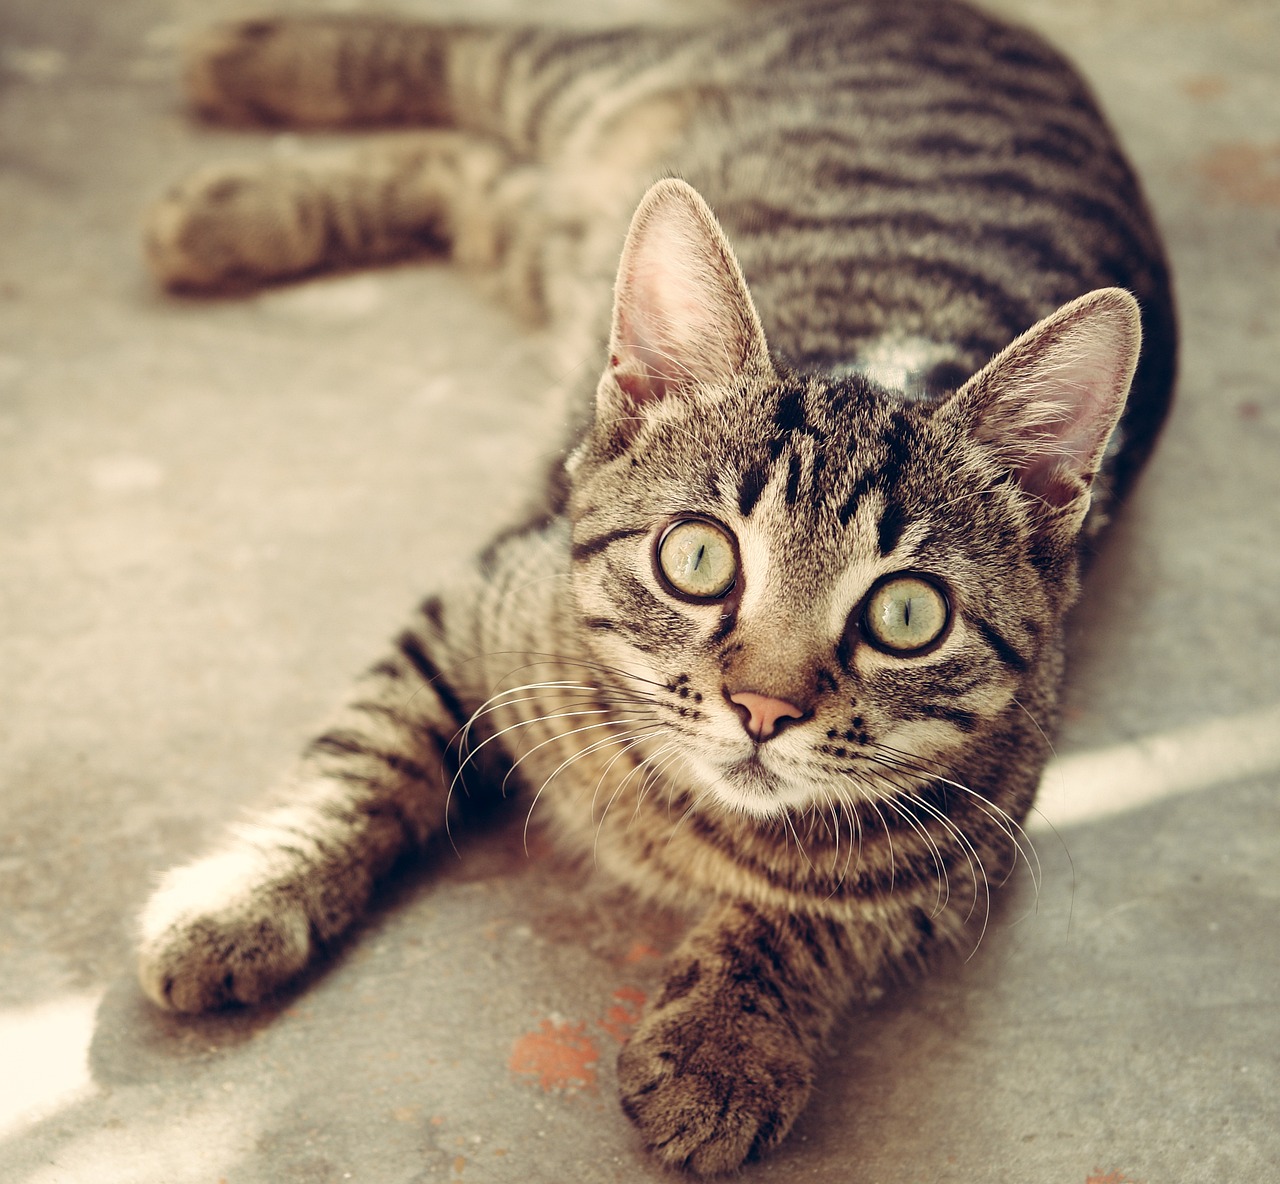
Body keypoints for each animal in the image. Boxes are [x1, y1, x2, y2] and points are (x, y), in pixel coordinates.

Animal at [137, 2, 1172, 1172]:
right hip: (585, 91)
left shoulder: (969, 847)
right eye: (697, 558)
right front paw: (248, 894)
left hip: (561, 238)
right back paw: (253, 83)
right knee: (462, 61)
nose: (762, 706)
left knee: (471, 176)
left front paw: (727, 1037)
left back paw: (230, 206)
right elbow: (362, 758)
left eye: (907, 614)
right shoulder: (478, 601)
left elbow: (822, 921)